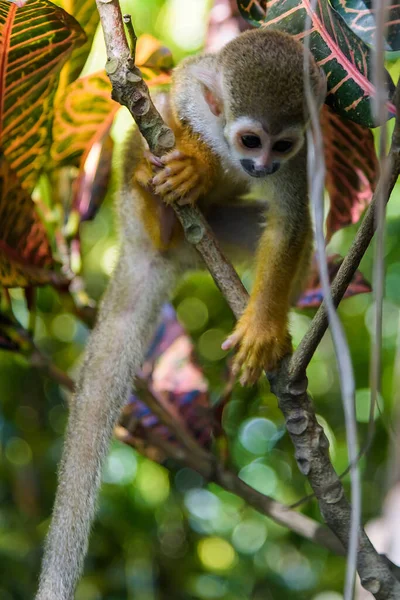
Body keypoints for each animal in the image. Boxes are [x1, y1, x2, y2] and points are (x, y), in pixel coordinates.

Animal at [36, 29, 324, 600]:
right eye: (251, 141)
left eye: (281, 145)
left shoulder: (302, 158)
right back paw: (156, 200)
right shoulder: (198, 93)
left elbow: (291, 224)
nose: (263, 167)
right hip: (129, 212)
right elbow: (178, 93)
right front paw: (198, 165)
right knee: (152, 127)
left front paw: (263, 329)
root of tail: (160, 255)